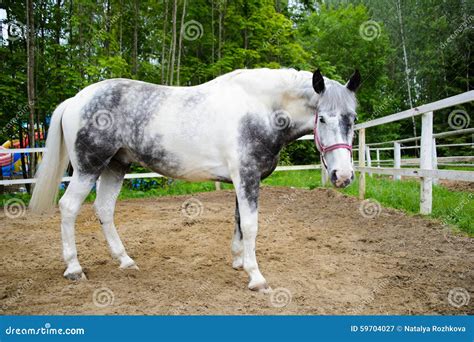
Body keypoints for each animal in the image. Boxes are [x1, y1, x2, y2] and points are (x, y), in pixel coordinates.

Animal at [29, 69, 360, 292]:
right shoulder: (247, 176)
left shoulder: (241, 180)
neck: (261, 109)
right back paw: (74, 268)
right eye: (322, 118)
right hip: (88, 168)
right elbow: (251, 224)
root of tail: (76, 99)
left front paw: (239, 263)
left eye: (352, 118)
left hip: (115, 166)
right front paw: (256, 277)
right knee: (69, 208)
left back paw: (125, 261)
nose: (343, 176)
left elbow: (239, 222)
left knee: (104, 210)